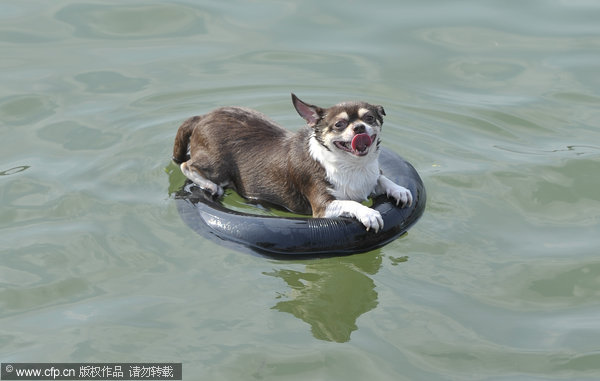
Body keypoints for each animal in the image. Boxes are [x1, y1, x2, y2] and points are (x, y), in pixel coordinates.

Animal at [171, 95, 410, 232]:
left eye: (370, 118)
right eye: (339, 124)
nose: (359, 127)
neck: (351, 166)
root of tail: (201, 117)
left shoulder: (369, 179)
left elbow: (381, 178)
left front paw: (399, 189)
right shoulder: (323, 208)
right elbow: (352, 203)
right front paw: (368, 213)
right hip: (217, 165)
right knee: (187, 165)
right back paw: (209, 185)